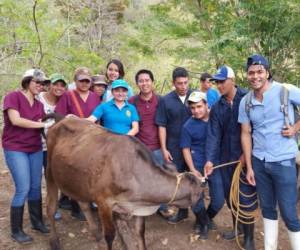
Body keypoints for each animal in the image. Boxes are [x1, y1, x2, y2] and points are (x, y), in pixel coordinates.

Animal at [45, 117, 204, 250]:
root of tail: (61, 120)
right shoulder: (104, 202)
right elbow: (110, 235)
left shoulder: (137, 207)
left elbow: (139, 233)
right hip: (50, 173)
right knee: (50, 209)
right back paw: (54, 241)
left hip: (78, 181)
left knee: (83, 205)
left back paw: (96, 235)